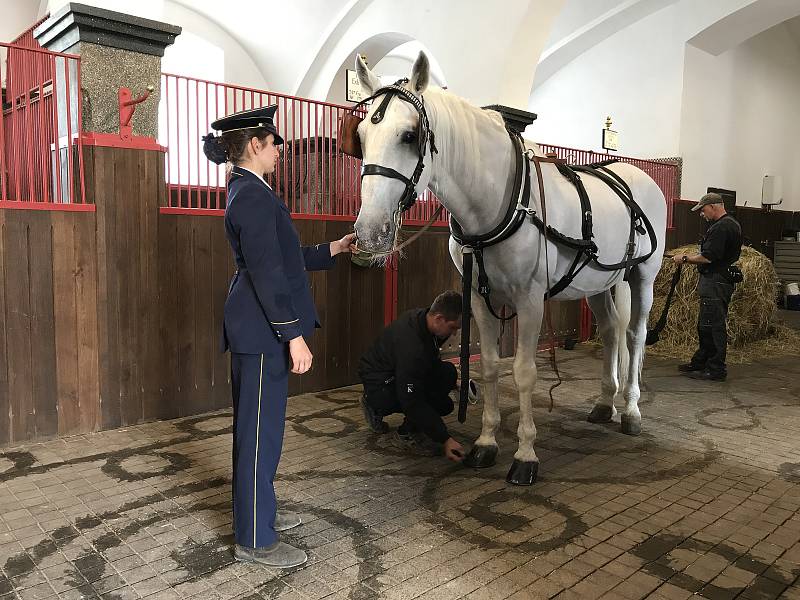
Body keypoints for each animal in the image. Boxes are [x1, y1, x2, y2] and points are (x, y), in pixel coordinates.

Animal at [354, 50, 664, 482]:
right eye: (361, 136)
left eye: (410, 135)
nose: (369, 231)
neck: (502, 199)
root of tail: (636, 176)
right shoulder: (480, 299)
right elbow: (488, 368)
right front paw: (486, 443)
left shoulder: (531, 300)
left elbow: (523, 372)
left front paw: (525, 455)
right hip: (599, 284)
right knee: (609, 332)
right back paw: (605, 403)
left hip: (642, 276)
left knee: (634, 334)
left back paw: (631, 410)